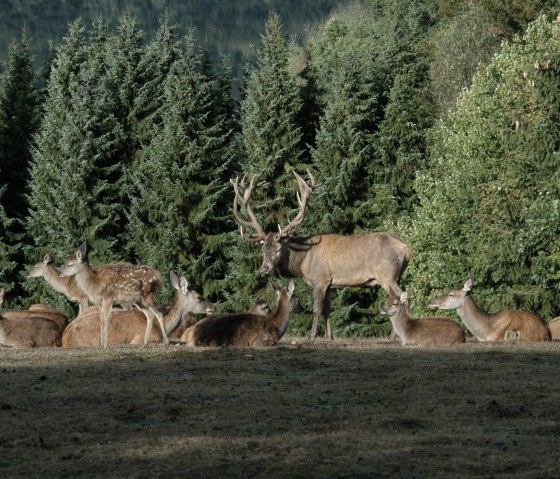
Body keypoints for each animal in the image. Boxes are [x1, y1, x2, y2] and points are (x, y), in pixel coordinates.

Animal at [231, 172, 412, 342]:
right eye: (263, 249)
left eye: (278, 249)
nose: (265, 267)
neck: (303, 261)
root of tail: (406, 248)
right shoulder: (330, 283)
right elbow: (327, 309)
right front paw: (329, 336)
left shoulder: (320, 280)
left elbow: (316, 308)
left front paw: (311, 336)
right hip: (397, 275)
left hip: (387, 276)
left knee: (403, 296)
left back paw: (394, 336)